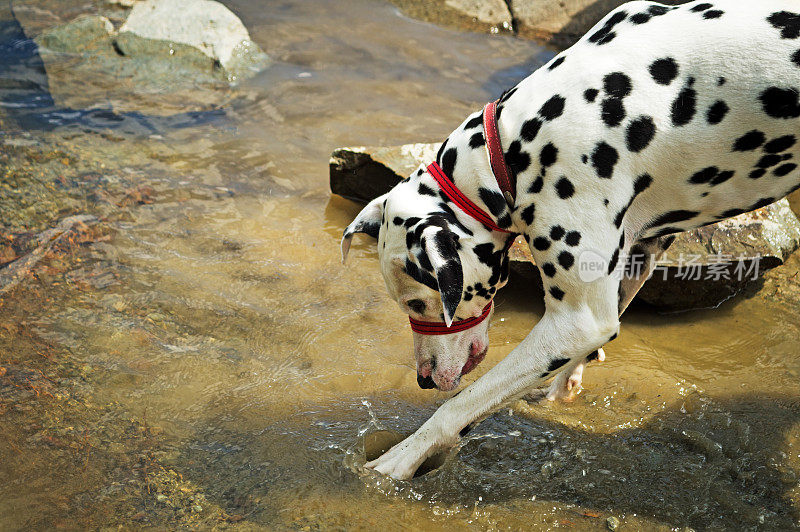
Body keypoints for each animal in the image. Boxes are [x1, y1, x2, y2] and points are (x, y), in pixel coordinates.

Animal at [340, 0, 800, 482]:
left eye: (416, 303)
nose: (423, 379)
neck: (515, 151)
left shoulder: (577, 321)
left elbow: (460, 405)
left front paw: (401, 457)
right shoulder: (636, 256)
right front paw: (565, 383)